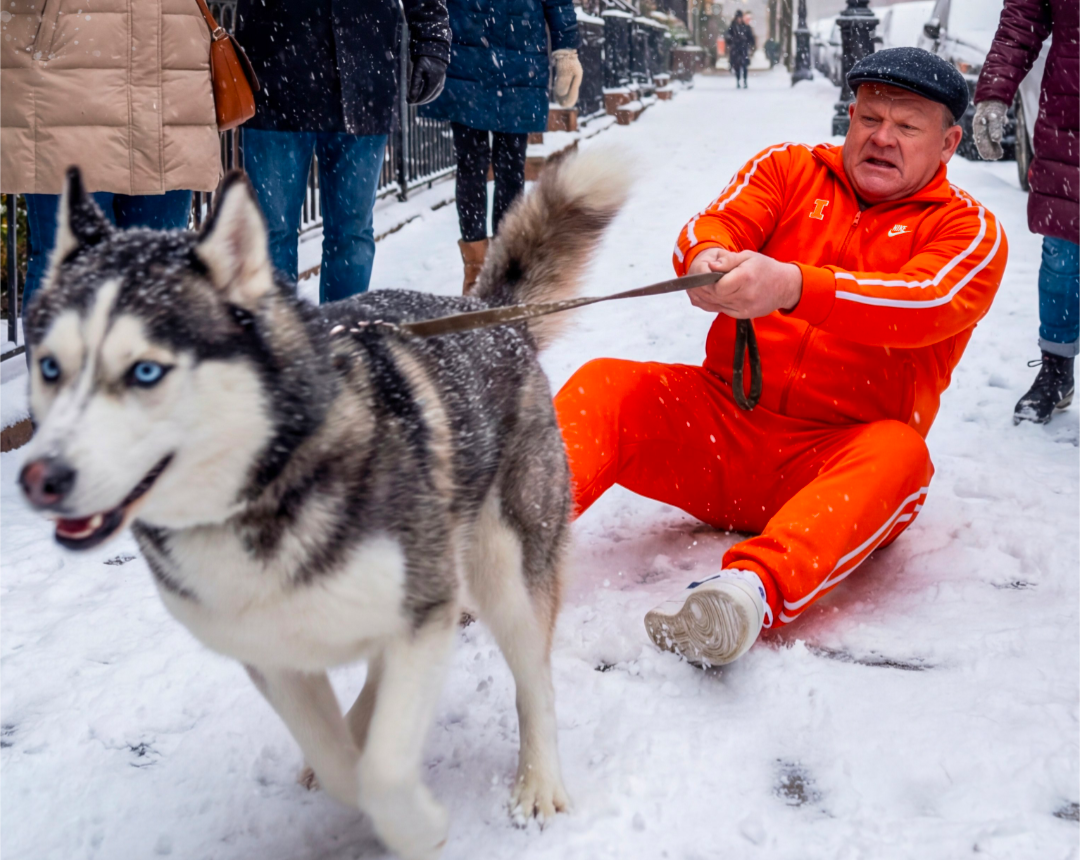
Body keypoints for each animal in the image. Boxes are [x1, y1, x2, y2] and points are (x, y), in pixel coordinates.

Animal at [18, 151, 626, 860]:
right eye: (49, 367)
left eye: (145, 371)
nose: (38, 478)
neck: (266, 490)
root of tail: (483, 314)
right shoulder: (273, 653)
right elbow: (342, 762)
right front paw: (353, 772)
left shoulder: (423, 607)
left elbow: (385, 769)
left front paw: (418, 825)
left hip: (506, 566)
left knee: (533, 680)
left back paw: (538, 783)